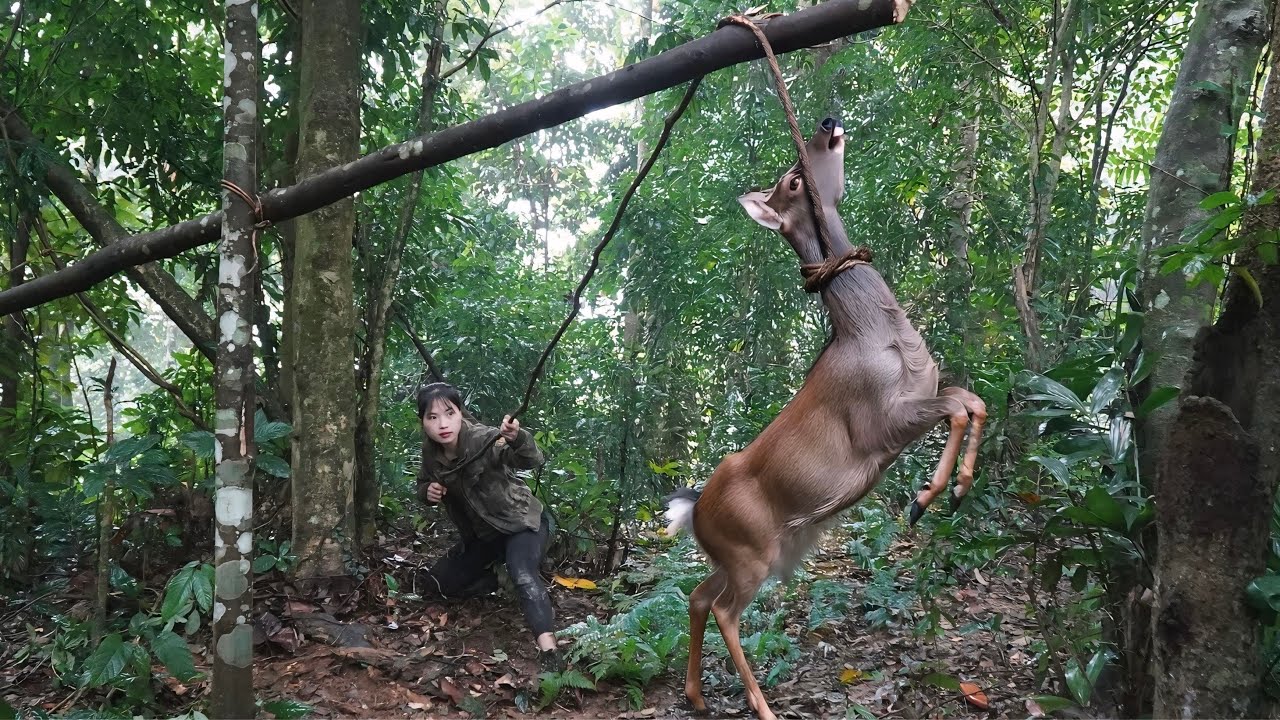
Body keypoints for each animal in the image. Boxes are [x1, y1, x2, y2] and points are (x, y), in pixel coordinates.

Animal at [663, 117, 986, 720]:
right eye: (792, 181)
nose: (826, 121)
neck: (874, 336)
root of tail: (692, 512)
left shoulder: (919, 398)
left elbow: (971, 400)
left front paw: (956, 489)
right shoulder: (880, 425)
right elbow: (957, 407)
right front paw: (927, 497)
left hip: (737, 554)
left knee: (696, 596)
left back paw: (696, 696)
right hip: (751, 554)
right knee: (725, 611)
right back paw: (762, 707)